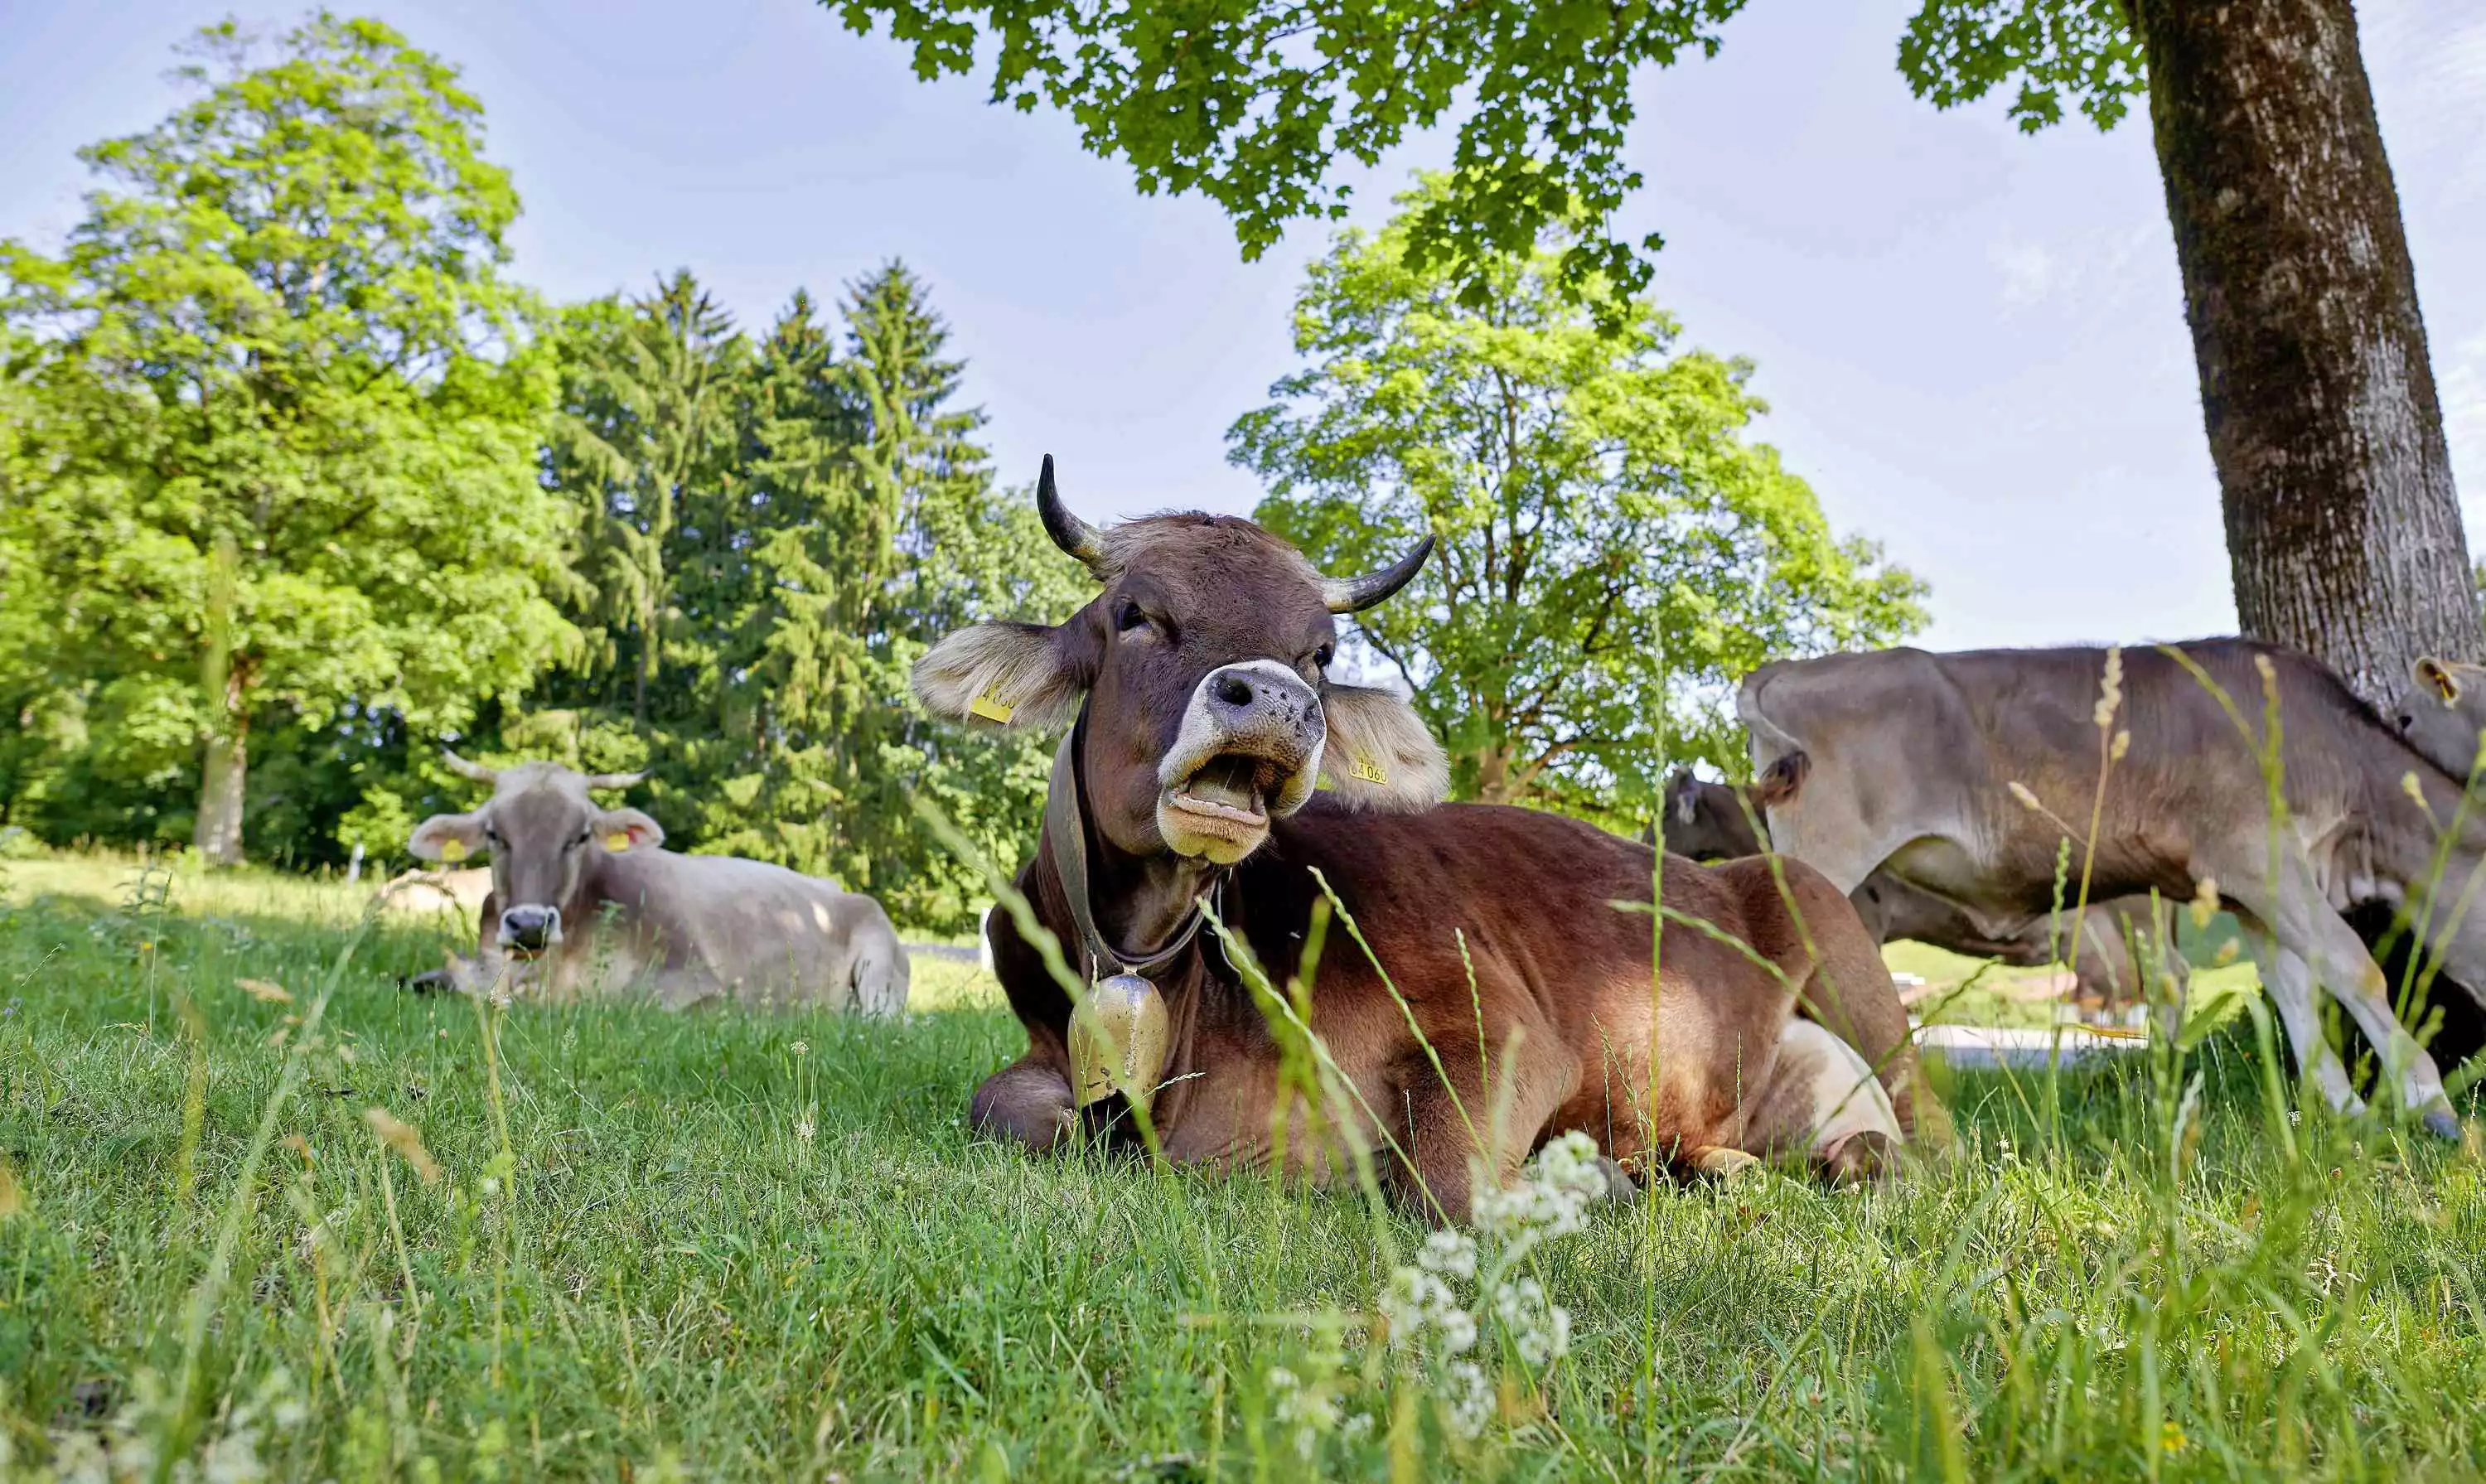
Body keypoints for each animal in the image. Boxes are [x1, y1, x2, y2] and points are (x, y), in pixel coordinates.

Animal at [909, 457, 1945, 1223]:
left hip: (1841, 952)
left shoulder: (1510, 1025)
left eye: (1320, 653)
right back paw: (1719, 1165)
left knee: (1932, 1136)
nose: (1276, 697)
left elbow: (1444, 1181)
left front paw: (1590, 1180)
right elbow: (999, 1107)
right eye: (1135, 614)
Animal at [1737, 640, 2486, 1137]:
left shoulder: (2255, 891)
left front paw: (2344, 1113)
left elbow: (2299, 995)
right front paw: (2431, 1105)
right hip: (1823, 856)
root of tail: (1780, 670)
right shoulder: (2258, 853)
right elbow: (2356, 969)